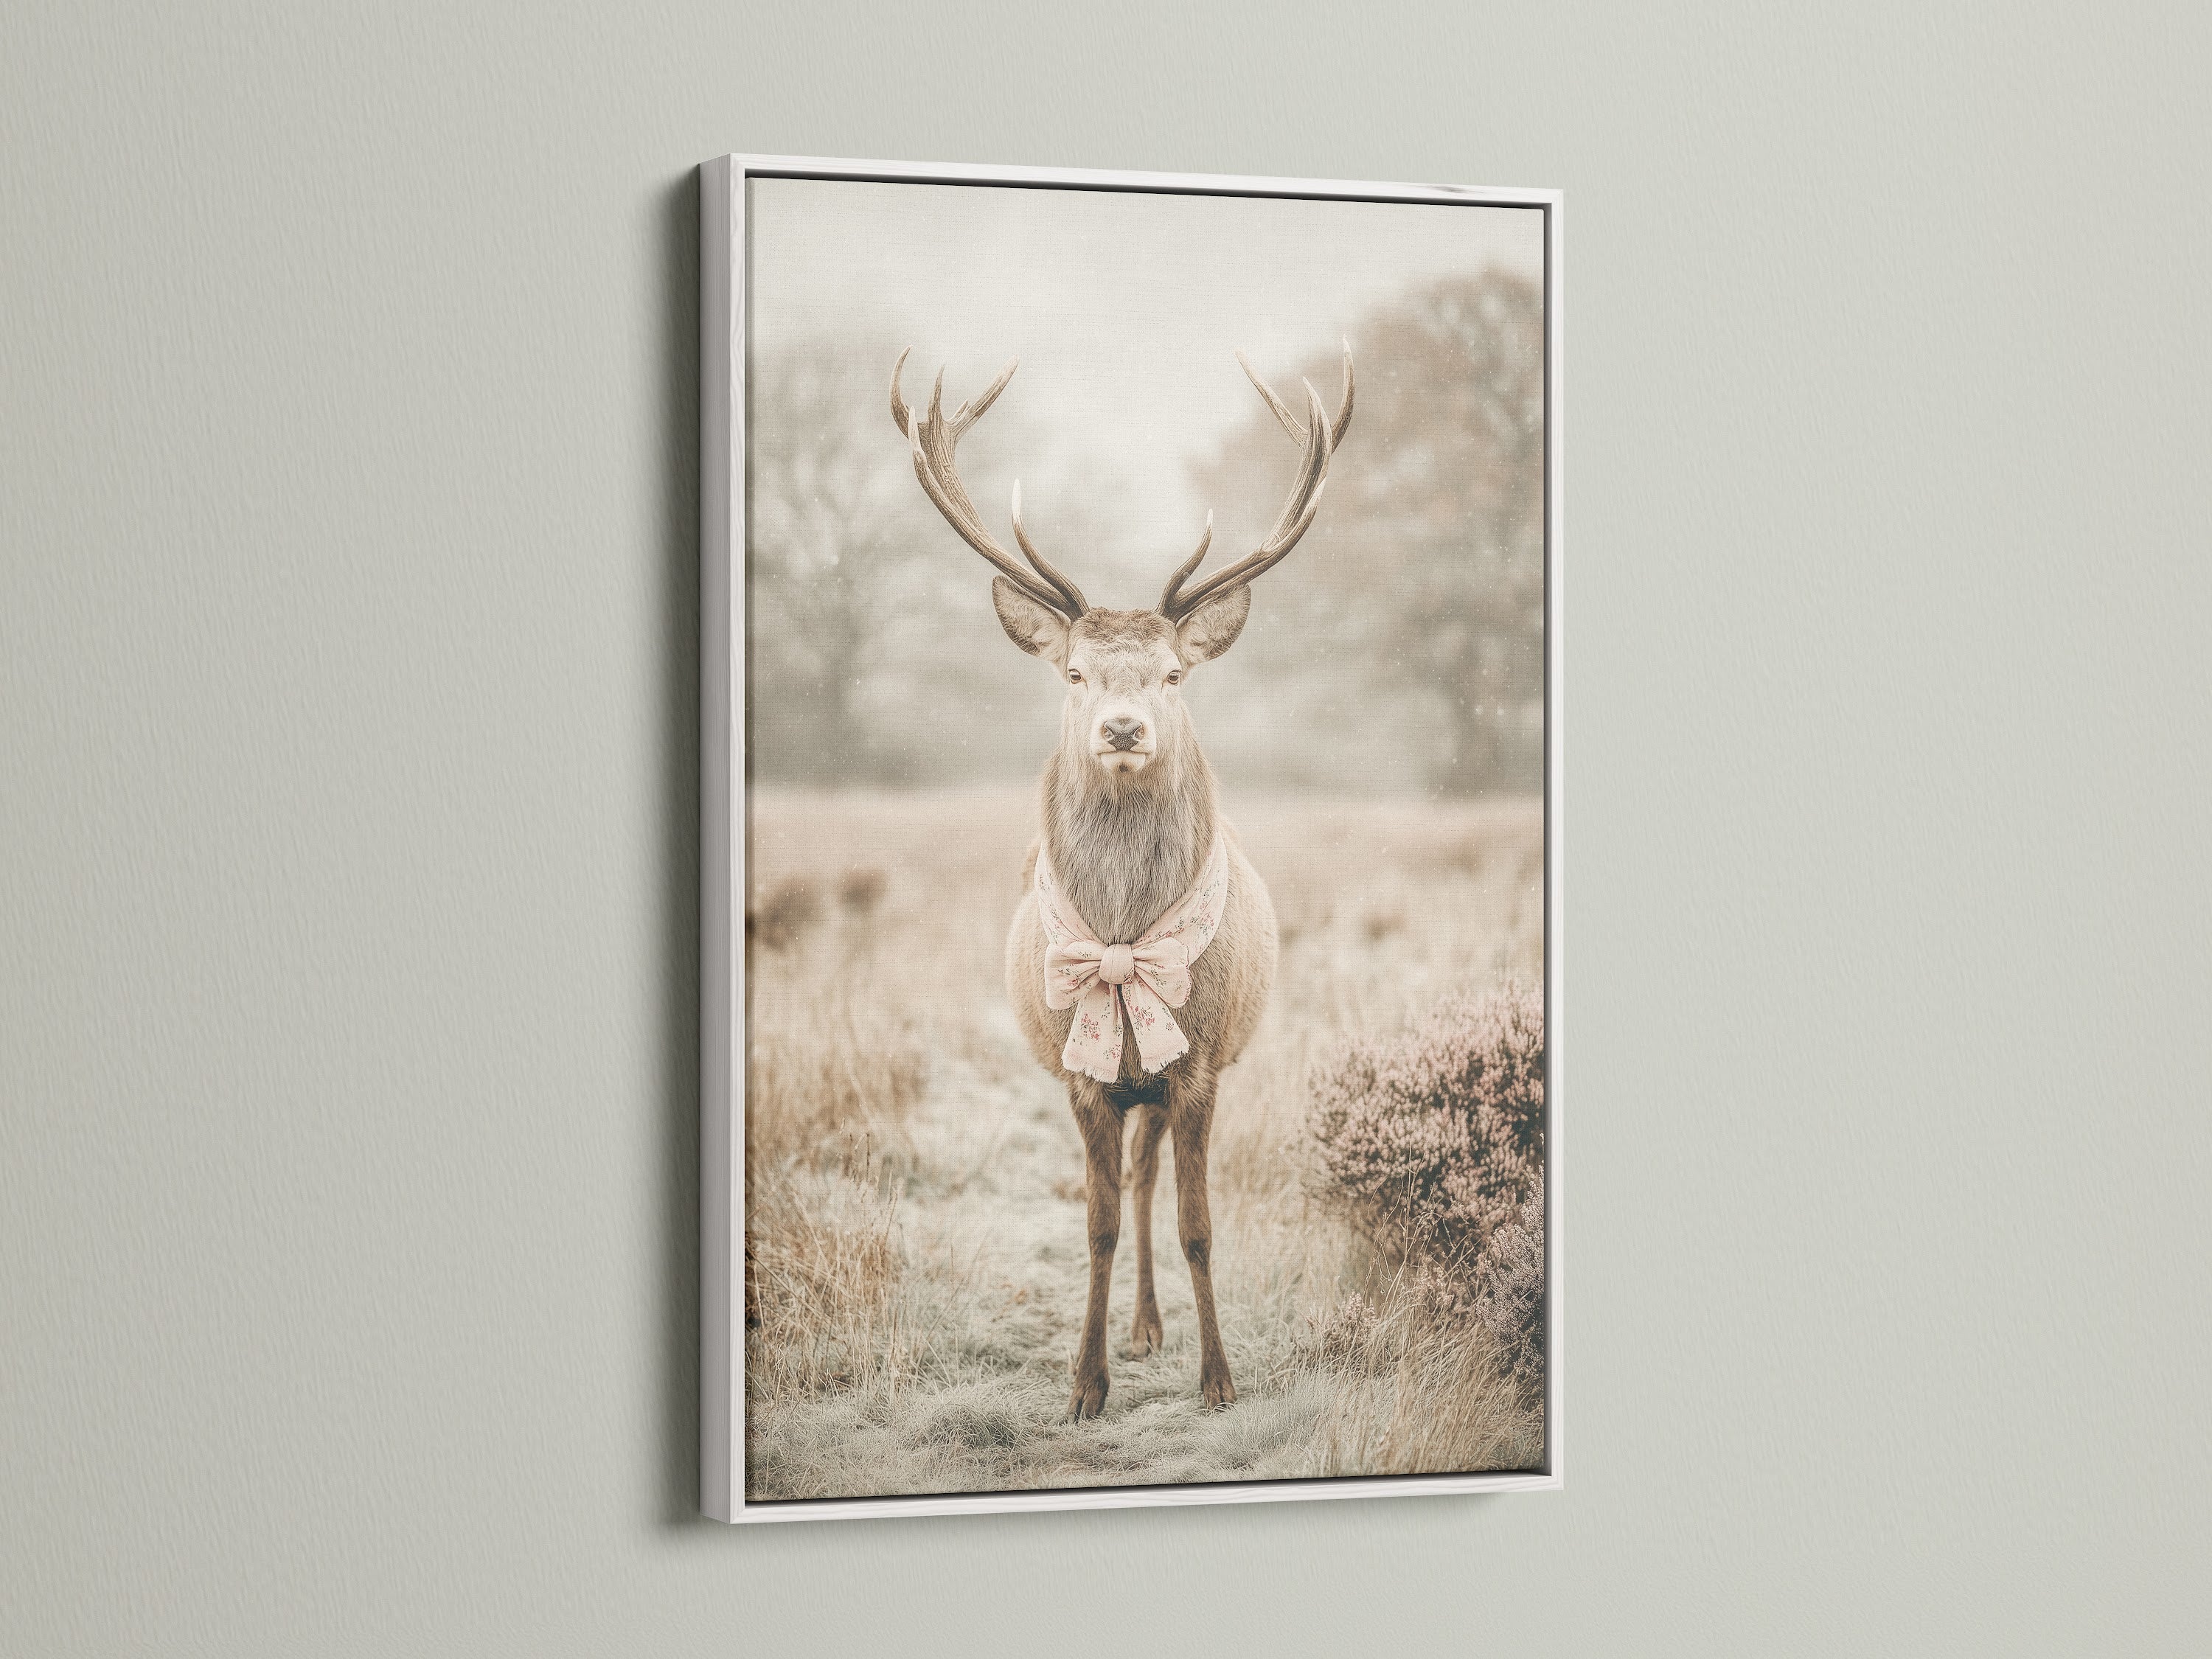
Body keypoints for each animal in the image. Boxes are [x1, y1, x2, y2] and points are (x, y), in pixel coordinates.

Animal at [890, 343, 1353, 1420]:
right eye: (1074, 672)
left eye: (1175, 675)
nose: (1124, 727)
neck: (1122, 939)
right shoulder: (1080, 1072)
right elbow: (1094, 1223)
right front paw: (1084, 1384)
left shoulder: (1200, 1064)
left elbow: (1198, 1225)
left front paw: (1218, 1378)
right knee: (1128, 1191)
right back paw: (1133, 1331)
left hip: (1164, 1074)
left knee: (1150, 1188)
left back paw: (1153, 1326)